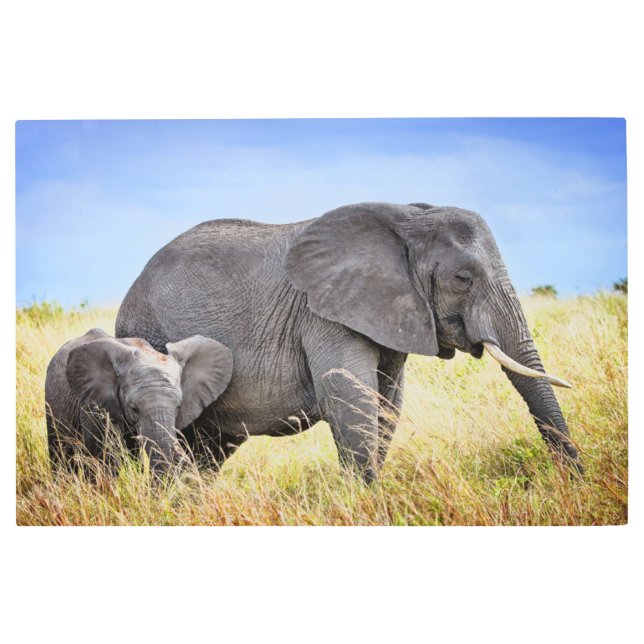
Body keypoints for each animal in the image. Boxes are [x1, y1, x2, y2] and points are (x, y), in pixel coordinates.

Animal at [115, 202, 581, 482]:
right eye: (463, 279)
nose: (575, 479)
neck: (406, 218)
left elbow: (387, 404)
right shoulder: (323, 314)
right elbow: (349, 396)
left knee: (208, 449)